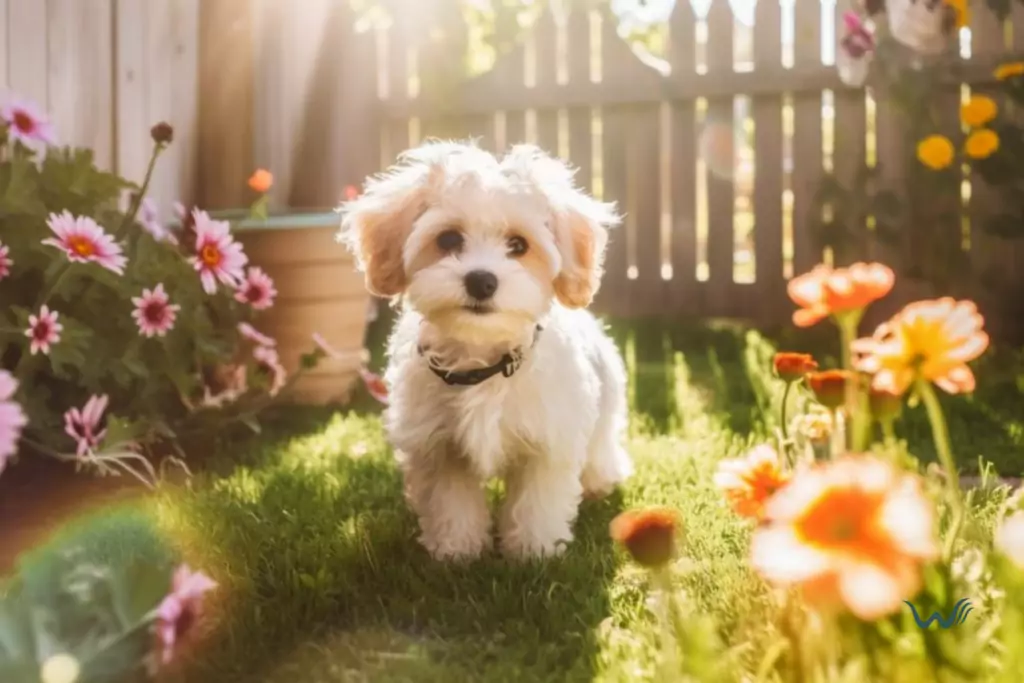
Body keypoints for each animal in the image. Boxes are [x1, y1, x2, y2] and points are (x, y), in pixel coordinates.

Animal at [339, 139, 630, 561]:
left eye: (518, 245)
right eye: (448, 240)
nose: (481, 280)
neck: (484, 358)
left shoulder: (549, 441)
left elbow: (538, 498)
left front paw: (534, 549)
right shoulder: (438, 446)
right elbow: (451, 500)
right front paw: (456, 549)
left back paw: (600, 480)